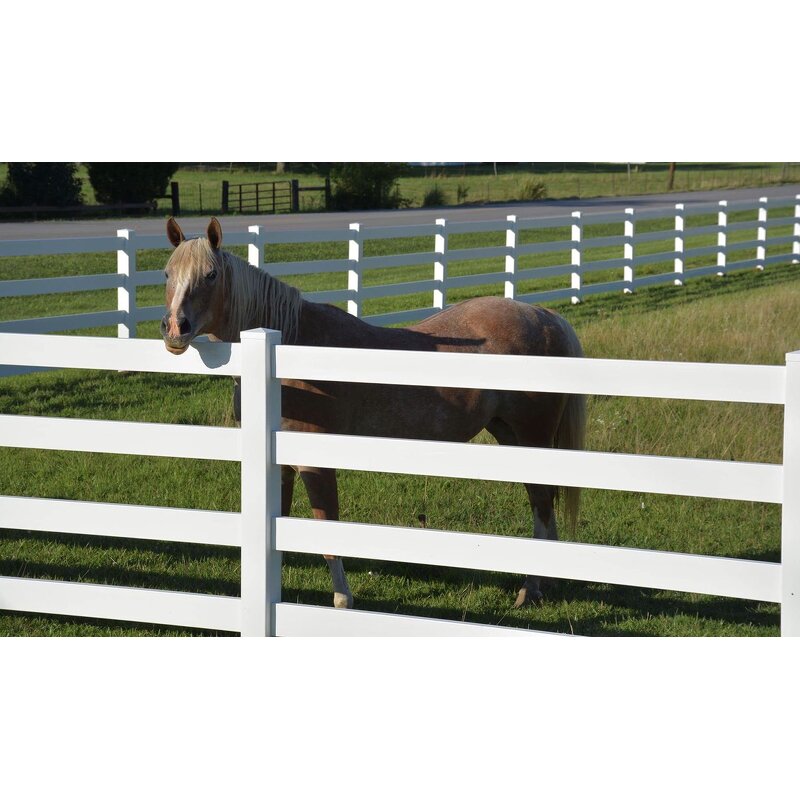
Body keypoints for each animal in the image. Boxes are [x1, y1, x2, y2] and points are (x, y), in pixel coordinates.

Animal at [160, 217, 587, 610]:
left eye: (211, 274)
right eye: (167, 273)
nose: (174, 329)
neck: (288, 349)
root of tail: (544, 316)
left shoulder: (316, 465)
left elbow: (327, 532)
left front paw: (342, 600)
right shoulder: (279, 468)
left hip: (531, 436)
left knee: (542, 505)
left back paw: (530, 589)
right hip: (512, 435)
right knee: (542, 502)